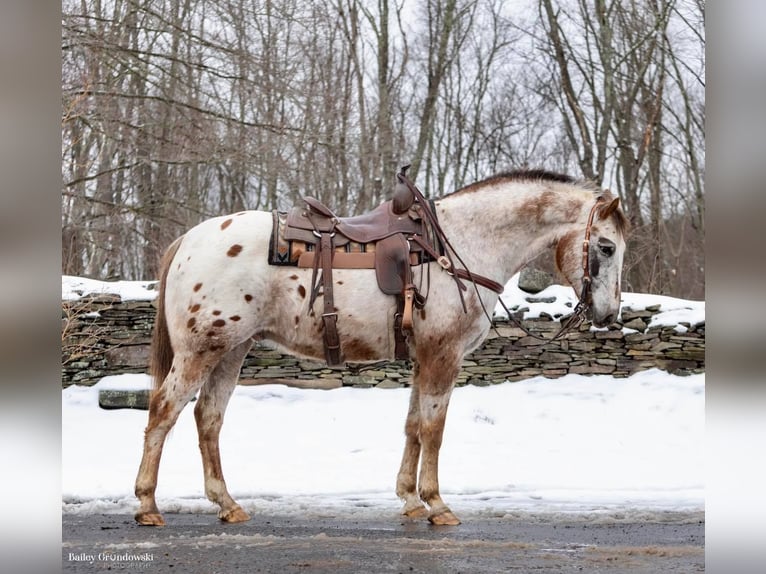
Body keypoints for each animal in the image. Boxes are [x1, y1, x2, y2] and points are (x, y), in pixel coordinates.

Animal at [136, 170, 632, 528]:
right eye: (606, 247)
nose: (608, 313)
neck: (461, 245)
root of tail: (189, 241)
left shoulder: (421, 359)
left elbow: (412, 426)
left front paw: (410, 500)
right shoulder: (442, 357)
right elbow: (433, 429)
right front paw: (437, 504)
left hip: (232, 350)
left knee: (208, 418)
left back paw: (227, 504)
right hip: (200, 351)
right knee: (163, 411)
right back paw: (147, 506)